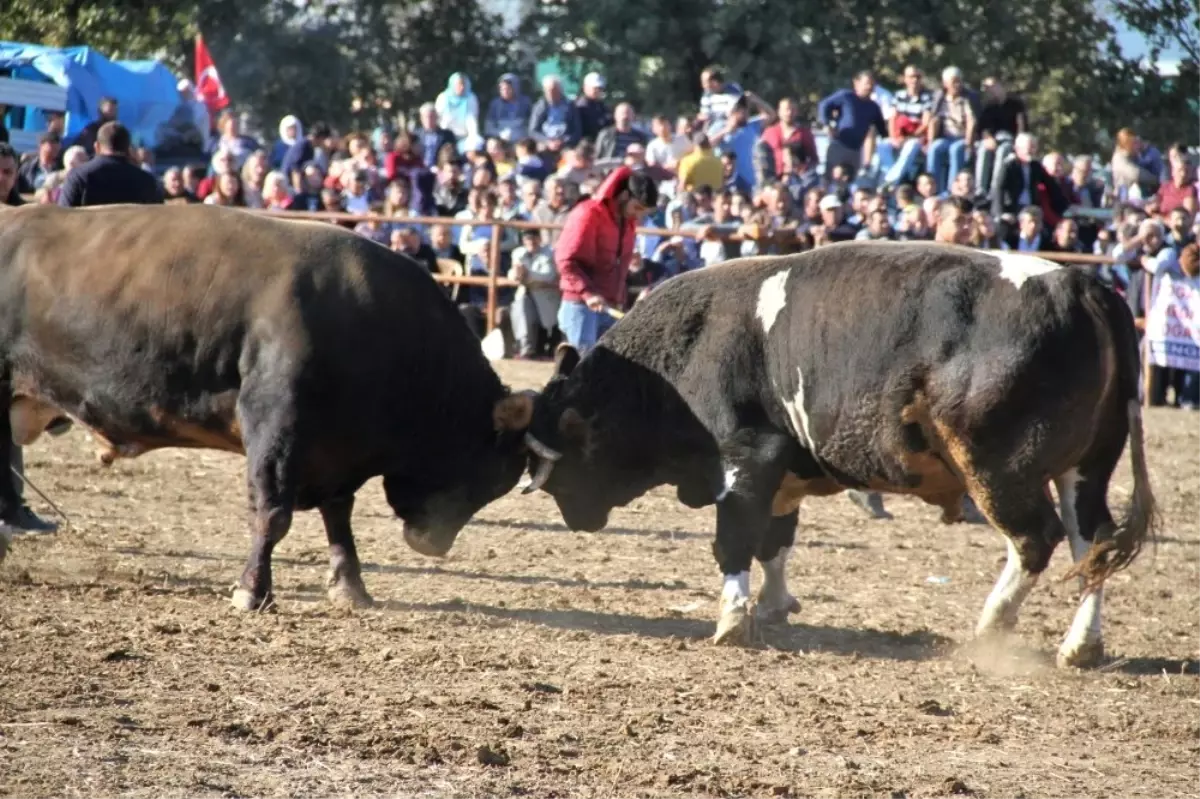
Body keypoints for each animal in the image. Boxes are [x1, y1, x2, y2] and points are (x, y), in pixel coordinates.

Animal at [0, 205, 535, 609]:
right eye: (488, 474)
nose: (432, 544)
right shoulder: (275, 427)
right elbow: (273, 513)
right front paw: (252, 591)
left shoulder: (337, 453)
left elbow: (338, 518)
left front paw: (351, 588)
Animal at [523, 241, 1152, 667]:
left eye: (561, 465)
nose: (573, 518)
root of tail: (1078, 285)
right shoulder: (781, 473)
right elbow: (775, 541)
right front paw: (774, 603)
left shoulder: (746, 457)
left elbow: (735, 540)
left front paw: (733, 618)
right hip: (1086, 468)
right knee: (1092, 542)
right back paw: (1081, 644)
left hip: (999, 468)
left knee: (1036, 540)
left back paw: (992, 624)